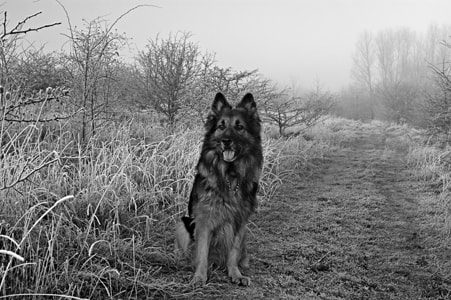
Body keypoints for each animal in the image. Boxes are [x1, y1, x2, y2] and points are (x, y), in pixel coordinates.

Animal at [175, 91, 264, 286]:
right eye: (221, 126)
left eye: (239, 127)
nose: (226, 141)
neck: (230, 175)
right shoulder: (204, 220)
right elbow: (201, 253)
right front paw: (200, 277)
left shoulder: (240, 221)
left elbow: (233, 252)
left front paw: (235, 274)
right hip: (184, 222)